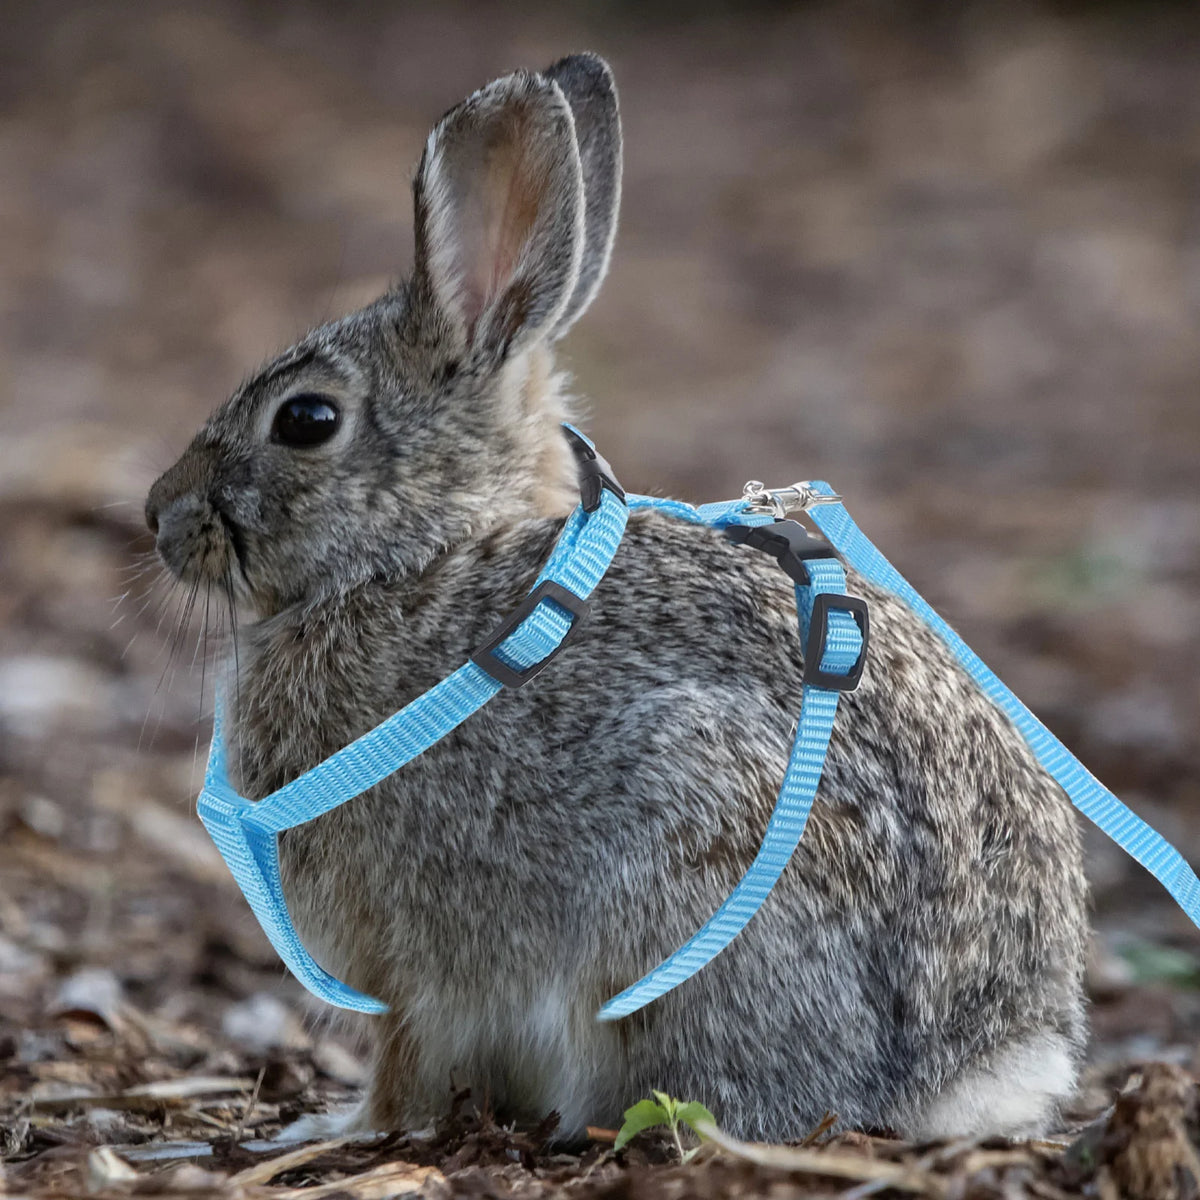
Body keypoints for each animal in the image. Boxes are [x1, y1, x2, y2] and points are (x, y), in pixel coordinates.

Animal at [145, 56, 1094, 1142]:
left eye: (305, 420)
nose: (158, 514)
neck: (417, 557)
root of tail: (967, 1064)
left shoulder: (409, 962)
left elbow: (402, 1069)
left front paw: (335, 1131)